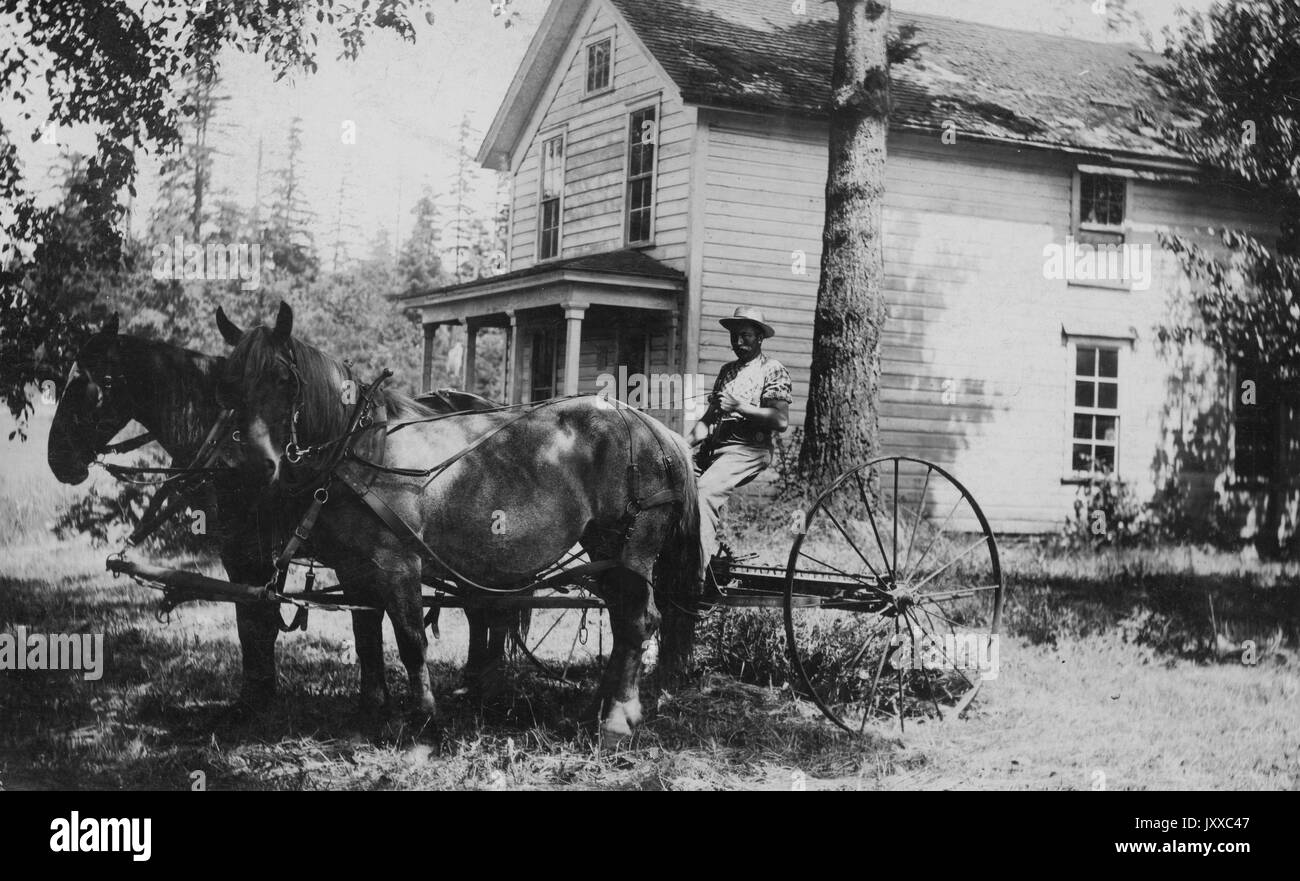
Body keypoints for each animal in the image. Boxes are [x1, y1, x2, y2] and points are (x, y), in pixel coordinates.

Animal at [45, 314, 504, 712]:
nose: (58, 459)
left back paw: (482, 681)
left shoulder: (249, 548)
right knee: (484, 606)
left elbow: (256, 621)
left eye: (98, 382)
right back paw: (476, 679)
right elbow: (260, 618)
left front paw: (257, 695)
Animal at [215, 304, 702, 743]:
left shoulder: (398, 564)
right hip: (604, 550)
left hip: (631, 547)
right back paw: (602, 706)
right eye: (229, 383)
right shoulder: (354, 568)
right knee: (622, 618)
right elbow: (366, 637)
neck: (363, 449)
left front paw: (425, 718)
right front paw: (371, 712)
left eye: (283, 381)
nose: (253, 466)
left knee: (637, 621)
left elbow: (411, 640)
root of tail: (654, 429)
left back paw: (616, 719)